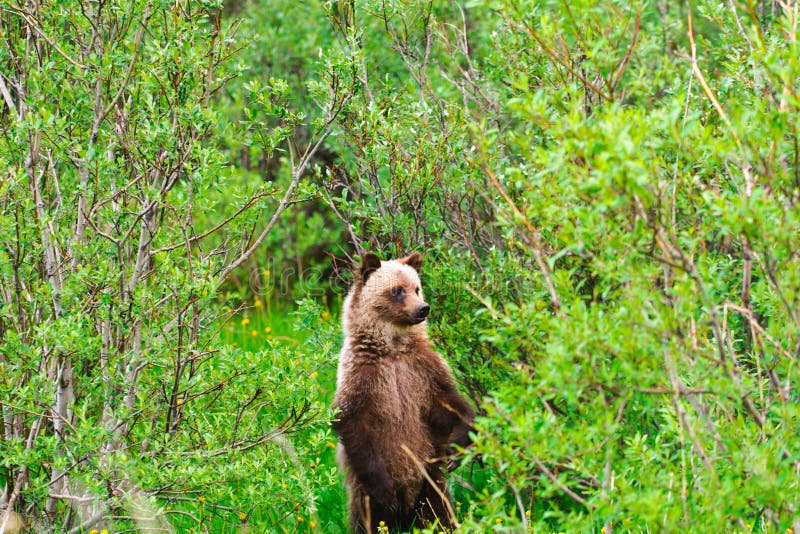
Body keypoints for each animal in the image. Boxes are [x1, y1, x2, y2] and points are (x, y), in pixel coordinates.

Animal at [332, 253, 476, 532]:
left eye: (416, 287)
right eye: (397, 290)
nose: (423, 308)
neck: (394, 347)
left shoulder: (422, 370)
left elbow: (448, 402)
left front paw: (456, 449)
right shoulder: (363, 375)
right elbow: (352, 421)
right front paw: (384, 490)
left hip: (429, 480)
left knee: (439, 509)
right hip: (365, 496)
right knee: (368, 520)